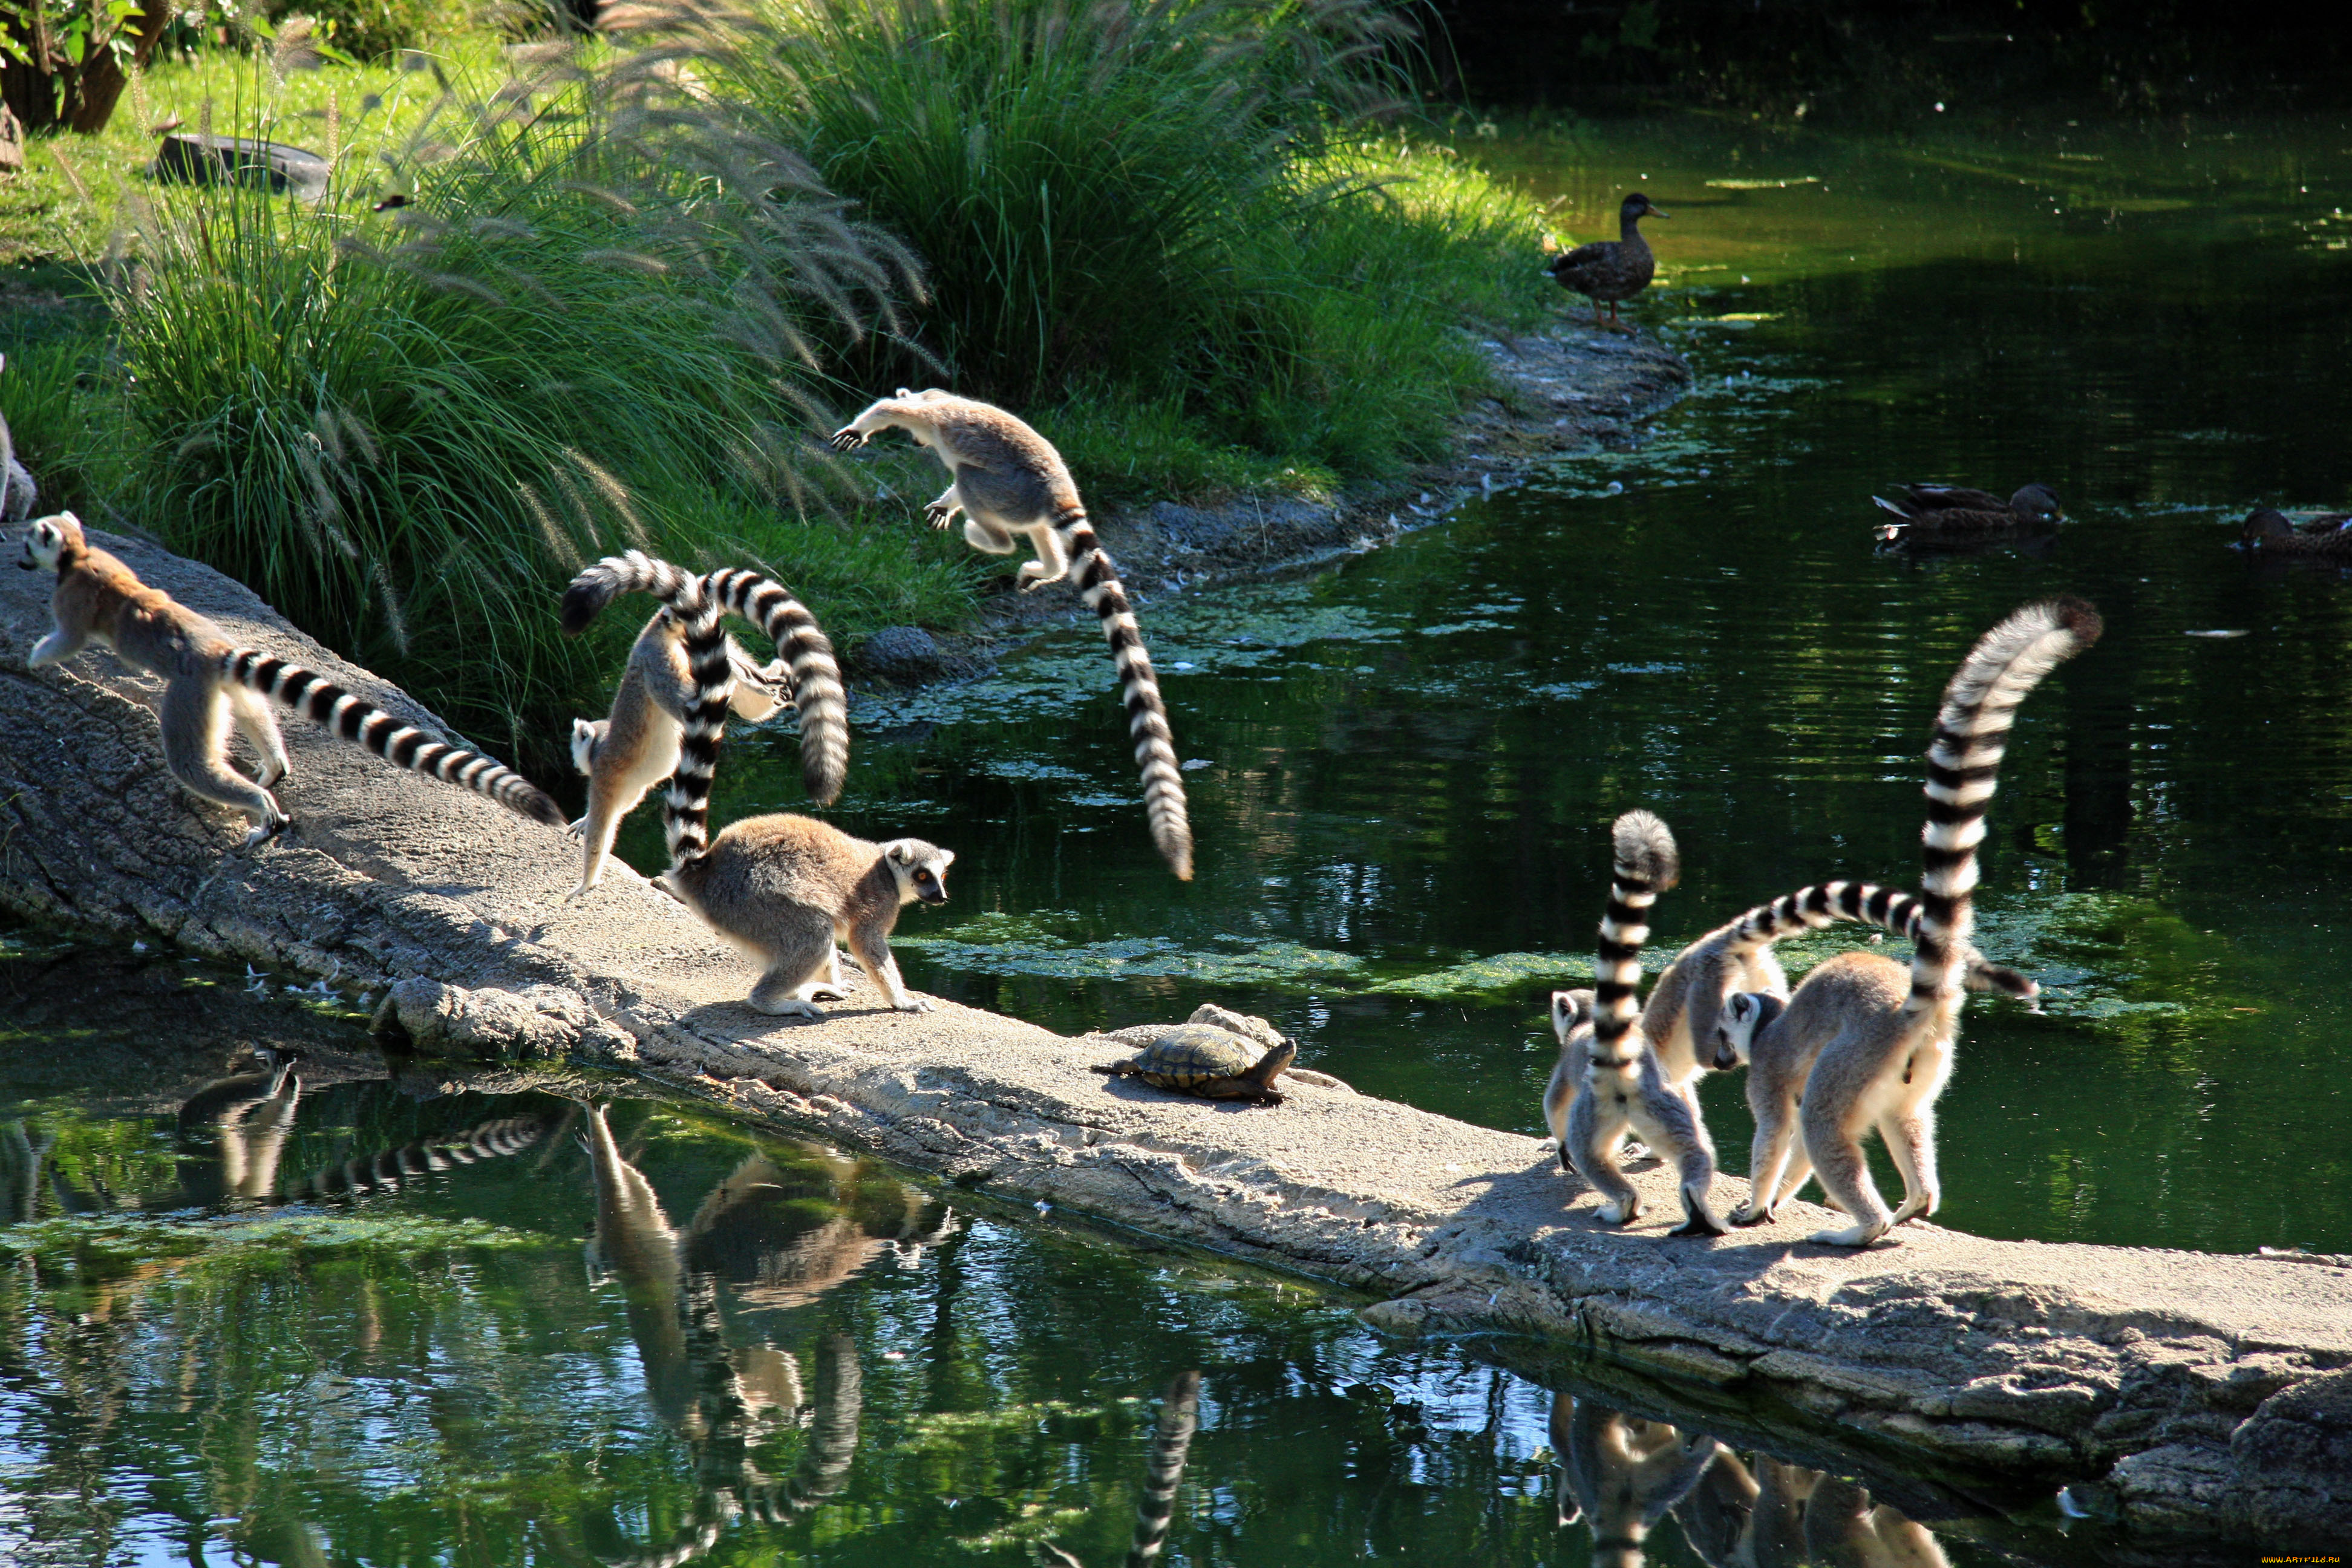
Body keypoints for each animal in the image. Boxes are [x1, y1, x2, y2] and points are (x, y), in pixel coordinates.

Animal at [17, 511, 565, 847]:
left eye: (26, 541)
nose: (19, 557)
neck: (79, 554)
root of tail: (215, 647)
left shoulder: (74, 599)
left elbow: (66, 640)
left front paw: (30, 659)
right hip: (218, 687)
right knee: (250, 710)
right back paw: (274, 771)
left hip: (189, 690)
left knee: (191, 762)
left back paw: (261, 805)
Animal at [567, 565, 848, 899]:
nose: (576, 765)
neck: (599, 748)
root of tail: (649, 632)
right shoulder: (630, 788)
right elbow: (620, 810)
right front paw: (584, 823)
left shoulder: (605, 775)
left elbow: (601, 829)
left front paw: (584, 883)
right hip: (702, 645)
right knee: (739, 686)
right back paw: (773, 679)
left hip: (657, 664)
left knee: (689, 700)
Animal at [829, 389, 1192, 880]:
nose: (920, 446)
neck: (936, 401)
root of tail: (1060, 492)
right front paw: (944, 504)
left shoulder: (932, 415)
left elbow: (894, 409)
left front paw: (861, 428)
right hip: (1026, 506)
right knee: (1040, 535)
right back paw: (1044, 569)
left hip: (1008, 493)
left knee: (970, 479)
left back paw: (988, 538)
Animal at [1710, 598, 2102, 1246]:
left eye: (1722, 1033)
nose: (1719, 1060)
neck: (1769, 1024)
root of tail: (1911, 1008)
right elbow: (1797, 1148)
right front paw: (1773, 1202)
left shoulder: (1766, 1072)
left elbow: (1779, 1134)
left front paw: (1754, 1204)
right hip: (1915, 1075)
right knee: (1906, 1119)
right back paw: (1913, 1202)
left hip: (1852, 1061)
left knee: (1821, 1120)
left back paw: (1861, 1228)